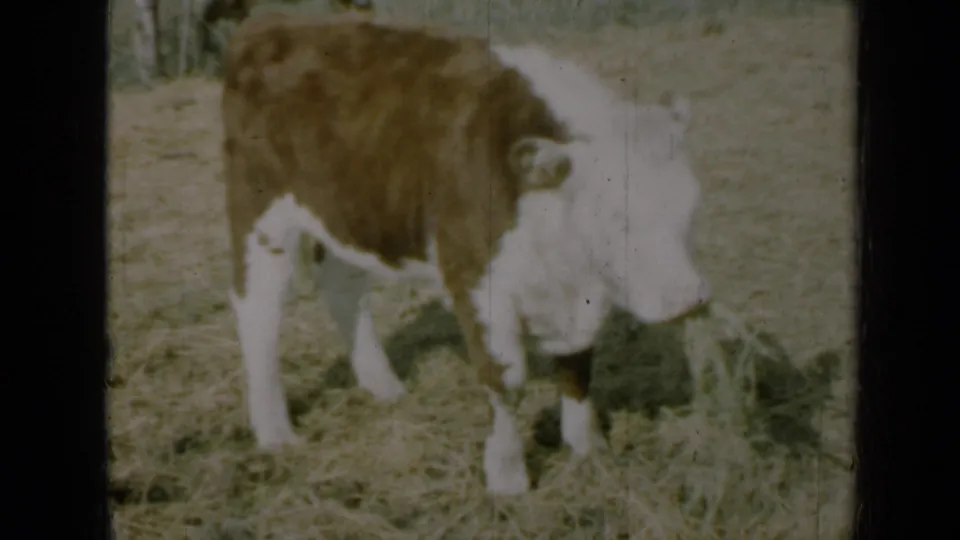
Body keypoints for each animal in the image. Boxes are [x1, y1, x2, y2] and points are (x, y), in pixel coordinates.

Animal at [221, 12, 711, 495]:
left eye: (691, 207)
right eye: (615, 215)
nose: (689, 300)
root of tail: (275, 24)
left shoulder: (577, 298)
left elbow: (577, 366)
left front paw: (587, 452)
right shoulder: (476, 279)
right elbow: (505, 378)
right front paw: (508, 478)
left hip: (348, 211)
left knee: (343, 286)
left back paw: (382, 384)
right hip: (261, 214)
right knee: (258, 310)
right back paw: (275, 430)